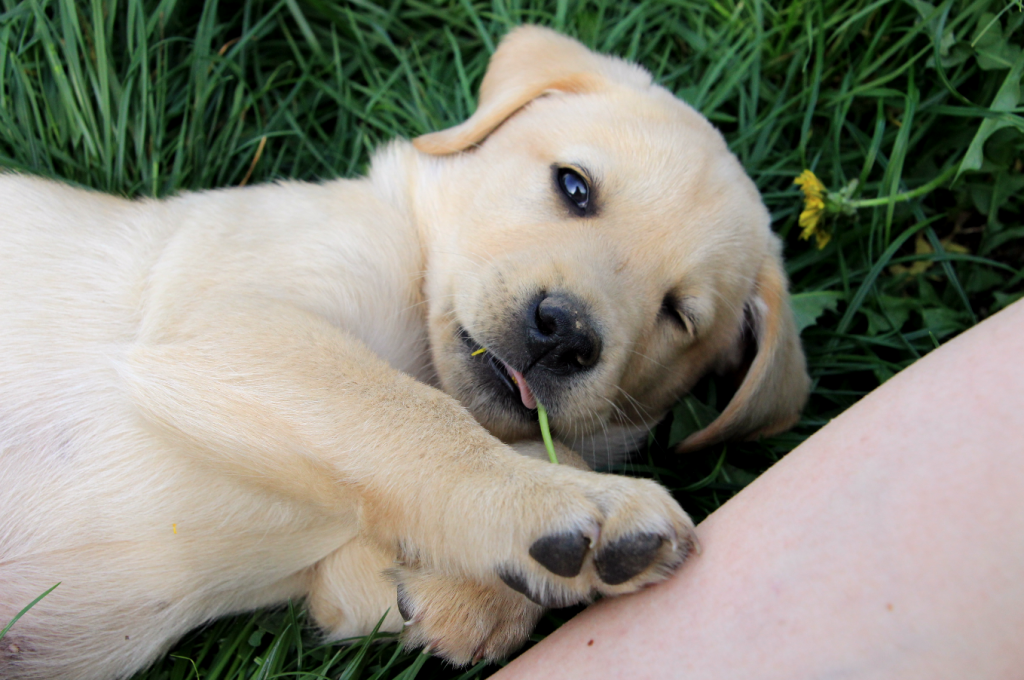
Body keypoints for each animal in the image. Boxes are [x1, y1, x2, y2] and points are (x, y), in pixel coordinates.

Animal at [0, 23, 806, 680]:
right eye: (574, 187)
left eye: (679, 314)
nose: (564, 332)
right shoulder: (229, 318)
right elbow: (416, 419)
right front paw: (571, 507)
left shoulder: (337, 579)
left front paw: (487, 593)